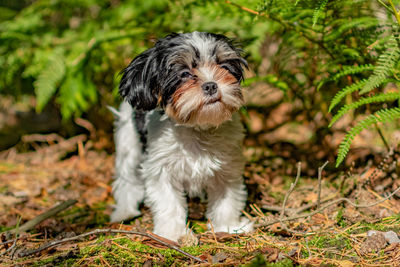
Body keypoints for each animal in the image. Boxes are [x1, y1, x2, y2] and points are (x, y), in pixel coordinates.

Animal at [111, 31, 252, 243]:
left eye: (223, 66)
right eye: (184, 73)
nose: (211, 85)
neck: (197, 128)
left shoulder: (227, 168)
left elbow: (227, 199)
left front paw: (228, 227)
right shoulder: (162, 170)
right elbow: (168, 203)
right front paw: (174, 234)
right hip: (129, 141)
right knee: (126, 177)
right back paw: (124, 212)